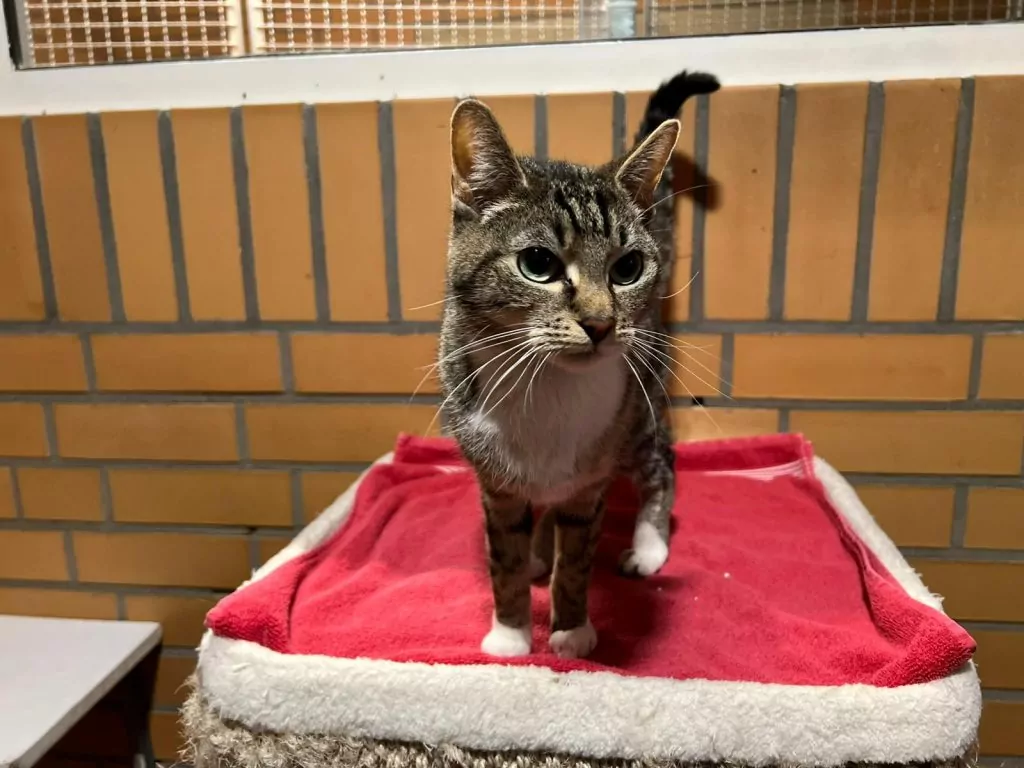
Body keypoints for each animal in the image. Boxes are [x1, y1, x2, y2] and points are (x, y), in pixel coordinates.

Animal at [437, 71, 721, 660]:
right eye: (537, 263)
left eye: (628, 267)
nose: (600, 322)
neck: (548, 384)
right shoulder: (494, 483)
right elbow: (504, 556)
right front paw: (511, 631)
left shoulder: (591, 482)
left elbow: (577, 559)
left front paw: (570, 630)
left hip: (639, 411)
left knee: (661, 464)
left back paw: (648, 545)